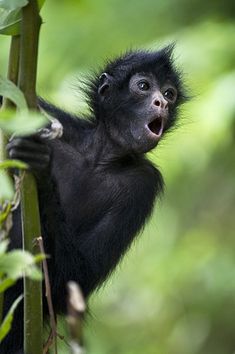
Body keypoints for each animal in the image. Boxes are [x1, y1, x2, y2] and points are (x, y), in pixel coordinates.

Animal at [0, 45, 186, 352]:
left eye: (169, 93)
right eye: (143, 87)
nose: (162, 103)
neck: (98, 159)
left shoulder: (143, 183)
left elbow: (71, 283)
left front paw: (42, 171)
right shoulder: (54, 120)